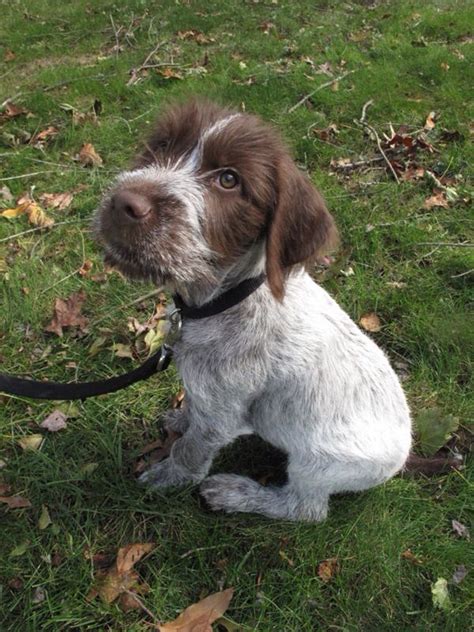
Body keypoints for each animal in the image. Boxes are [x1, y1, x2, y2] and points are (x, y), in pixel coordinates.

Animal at [96, 100, 412, 524]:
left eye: (229, 180)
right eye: (160, 146)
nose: (124, 202)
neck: (220, 301)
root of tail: (404, 454)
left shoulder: (221, 414)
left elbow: (191, 449)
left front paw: (168, 476)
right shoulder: (204, 391)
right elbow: (192, 408)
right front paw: (181, 418)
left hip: (317, 463)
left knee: (305, 509)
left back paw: (235, 493)